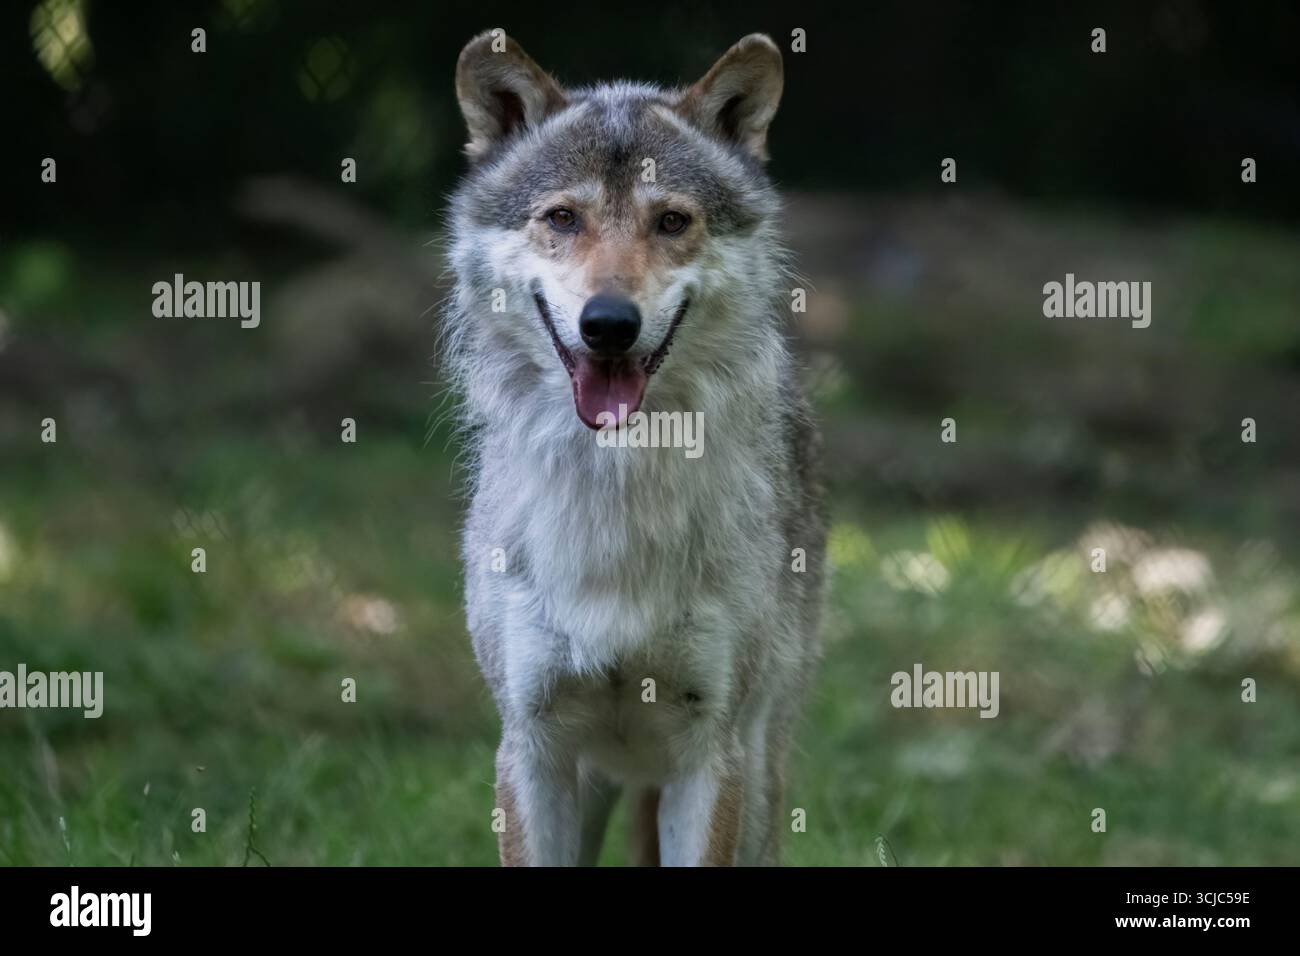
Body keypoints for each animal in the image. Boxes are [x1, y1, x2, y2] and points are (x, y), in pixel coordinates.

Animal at [443, 30, 826, 866]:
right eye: (562, 218)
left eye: (671, 222)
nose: (609, 323)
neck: (612, 490)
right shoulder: (533, 750)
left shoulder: (708, 755)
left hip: (758, 775)